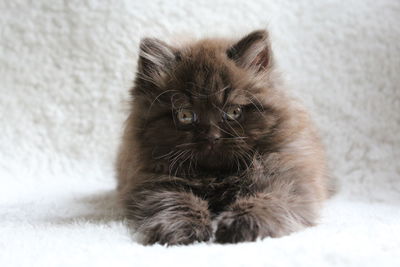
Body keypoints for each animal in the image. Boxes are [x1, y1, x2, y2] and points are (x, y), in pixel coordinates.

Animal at [116, 30, 334, 246]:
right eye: (185, 115)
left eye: (233, 112)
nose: (212, 137)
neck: (217, 175)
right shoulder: (151, 181)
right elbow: (175, 200)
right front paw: (181, 229)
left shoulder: (288, 177)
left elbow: (268, 198)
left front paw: (243, 224)